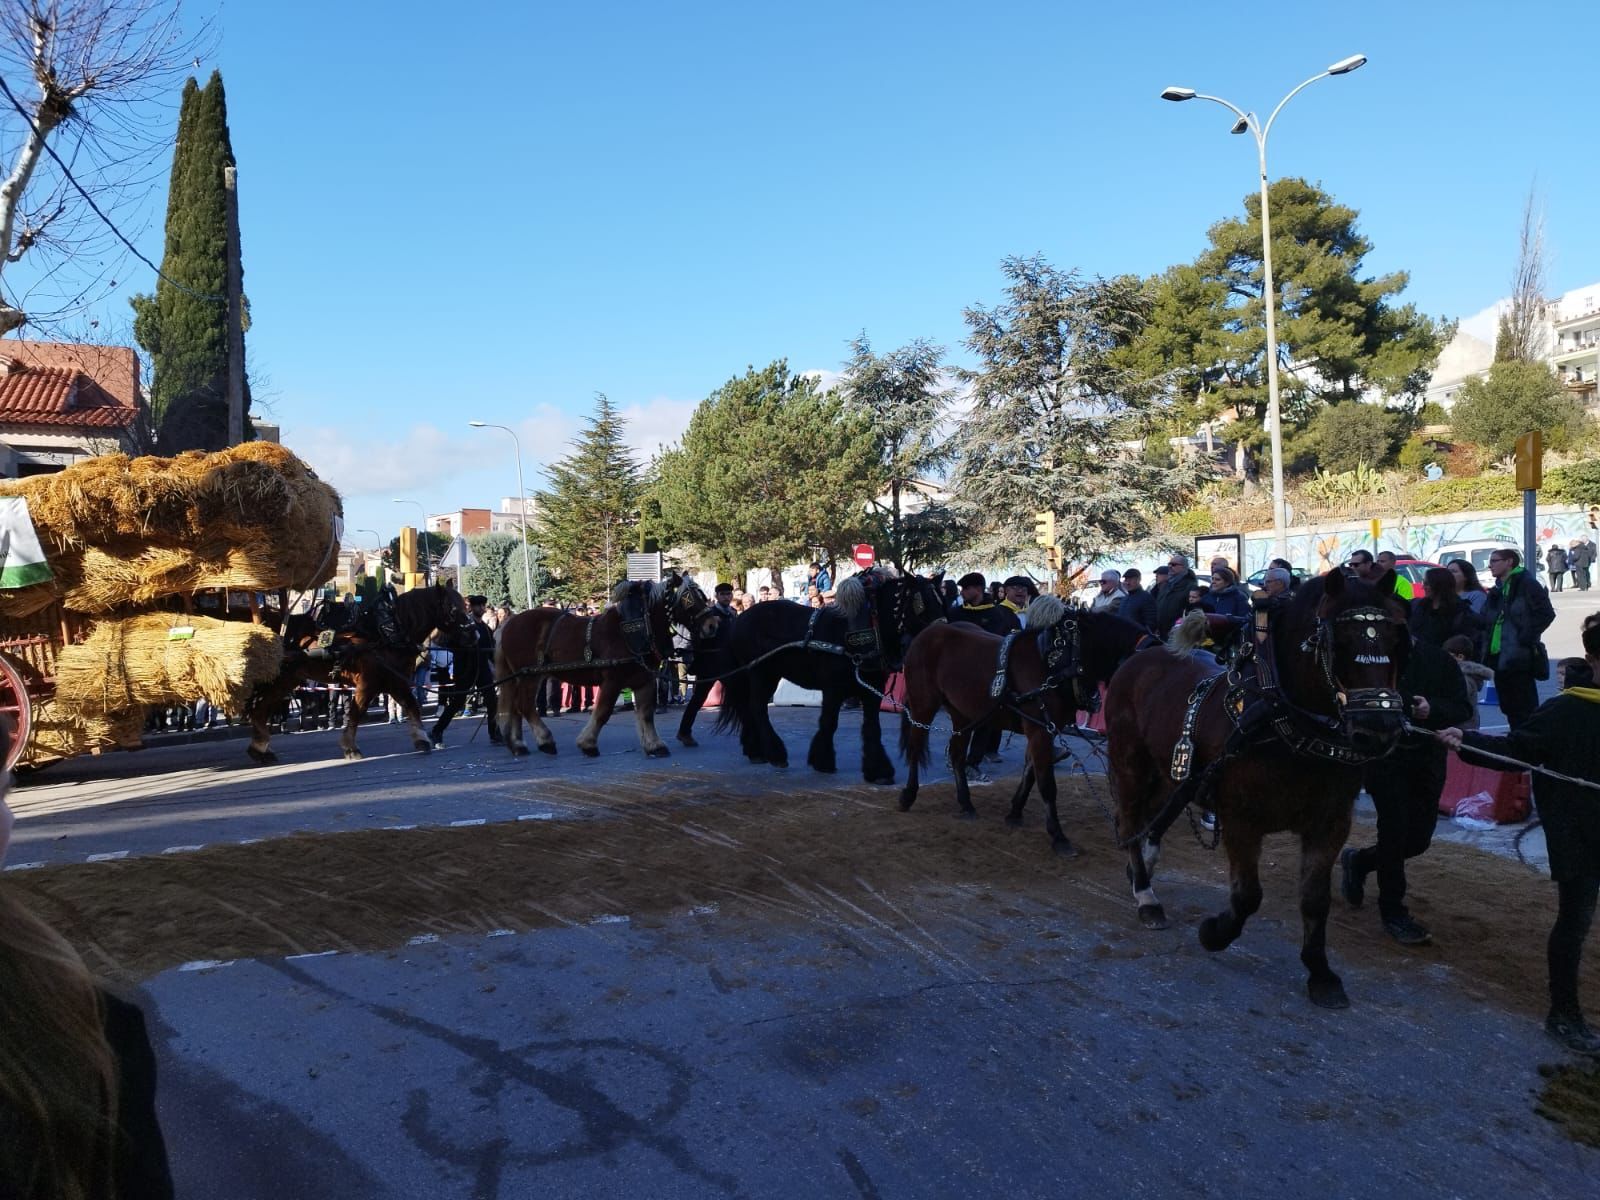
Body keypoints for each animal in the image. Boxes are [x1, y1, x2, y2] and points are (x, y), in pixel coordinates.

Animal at [243, 585, 467, 771]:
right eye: (454, 609)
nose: (471, 631)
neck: (386, 632)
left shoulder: (396, 682)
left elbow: (412, 707)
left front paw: (421, 740)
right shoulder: (368, 683)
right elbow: (356, 713)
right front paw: (350, 747)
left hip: (287, 680)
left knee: (259, 708)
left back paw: (260, 749)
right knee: (258, 707)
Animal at [496, 576, 704, 761]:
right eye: (689, 599)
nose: (710, 624)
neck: (632, 631)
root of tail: (508, 623)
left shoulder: (645, 680)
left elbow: (646, 714)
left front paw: (654, 745)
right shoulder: (612, 681)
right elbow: (603, 712)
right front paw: (587, 744)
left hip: (521, 677)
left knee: (514, 707)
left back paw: (517, 745)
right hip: (529, 677)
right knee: (524, 706)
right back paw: (545, 741)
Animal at [716, 572, 947, 790]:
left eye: (942, 601)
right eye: (921, 603)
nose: (941, 637)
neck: (864, 628)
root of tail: (739, 620)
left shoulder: (872, 689)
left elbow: (872, 726)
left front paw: (878, 771)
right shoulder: (833, 689)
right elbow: (829, 721)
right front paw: (823, 760)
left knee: (747, 708)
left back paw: (755, 750)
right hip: (761, 672)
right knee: (756, 707)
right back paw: (775, 753)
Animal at [1107, 569, 1408, 1011]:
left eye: (1395, 639)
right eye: (1338, 643)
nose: (1379, 729)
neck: (1286, 722)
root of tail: (1143, 656)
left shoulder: (1330, 823)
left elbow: (1315, 899)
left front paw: (1320, 973)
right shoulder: (1241, 819)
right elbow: (1248, 895)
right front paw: (1214, 933)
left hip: (1173, 772)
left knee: (1157, 816)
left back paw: (1141, 866)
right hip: (1130, 762)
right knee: (1130, 821)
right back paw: (1146, 895)